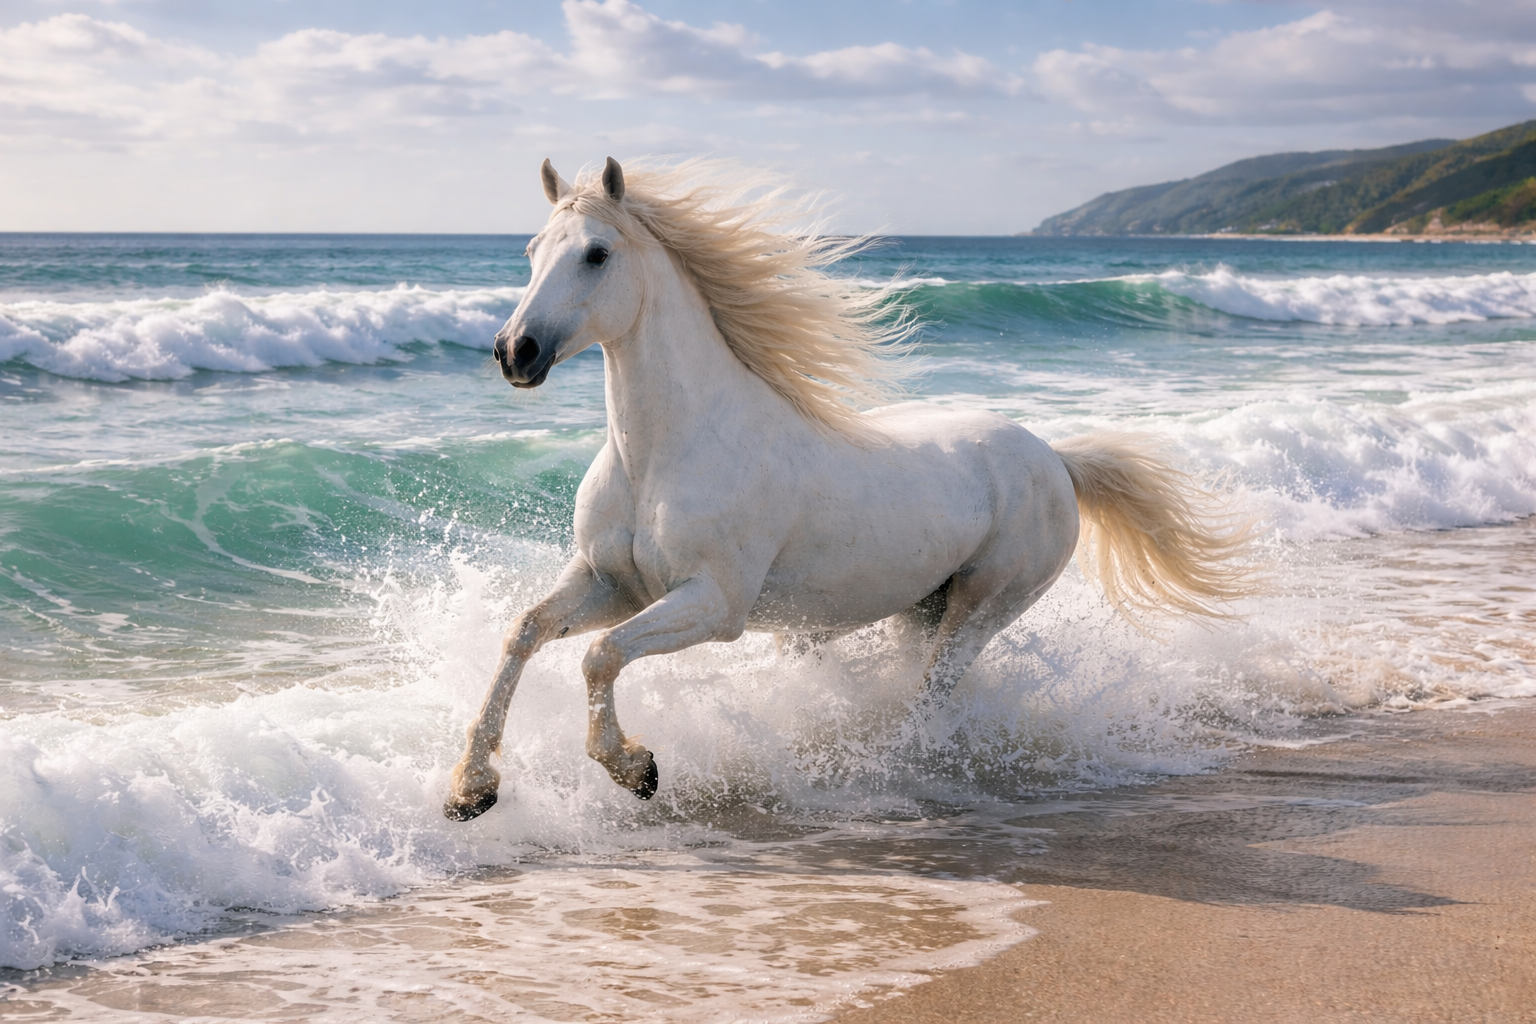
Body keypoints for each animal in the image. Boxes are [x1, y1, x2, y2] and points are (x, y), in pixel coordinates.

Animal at [443, 157, 1254, 821]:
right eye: (531, 252)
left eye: (596, 253)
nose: (514, 352)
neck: (666, 453)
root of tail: (1055, 457)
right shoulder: (611, 582)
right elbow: (525, 632)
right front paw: (470, 790)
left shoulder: (713, 604)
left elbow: (600, 656)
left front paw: (633, 768)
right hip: (920, 609)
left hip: (984, 606)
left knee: (929, 699)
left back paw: (893, 774)